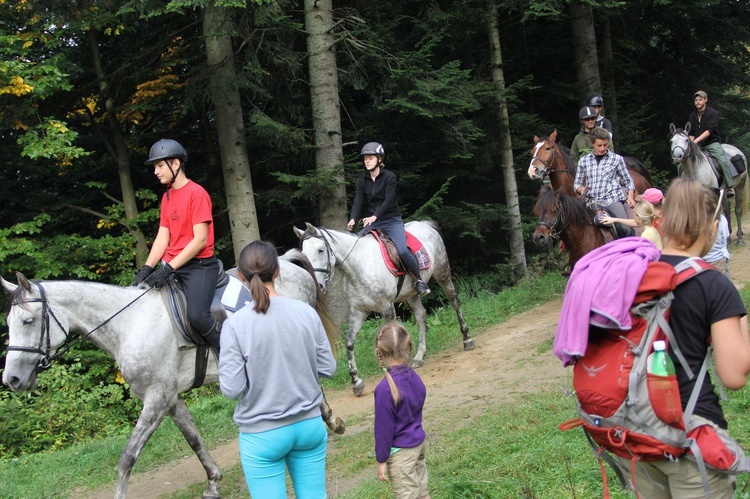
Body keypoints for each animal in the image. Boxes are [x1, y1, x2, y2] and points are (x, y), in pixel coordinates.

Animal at [2, 254, 344, 499]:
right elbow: (193, 438)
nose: (12, 380)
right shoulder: (169, 398)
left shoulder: (157, 398)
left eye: (28, 321)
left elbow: (128, 456)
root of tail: (287, 262)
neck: (130, 323)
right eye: (9, 322)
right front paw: (213, 481)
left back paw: (329, 420)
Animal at [292, 221, 470, 396]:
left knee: (454, 301)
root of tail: (425, 224)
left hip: (442, 273)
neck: (360, 267)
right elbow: (349, 342)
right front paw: (356, 382)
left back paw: (467, 339)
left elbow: (392, 341)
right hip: (411, 294)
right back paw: (419, 355)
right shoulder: (358, 311)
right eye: (303, 253)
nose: (318, 286)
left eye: (320, 250)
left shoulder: (387, 308)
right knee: (421, 315)